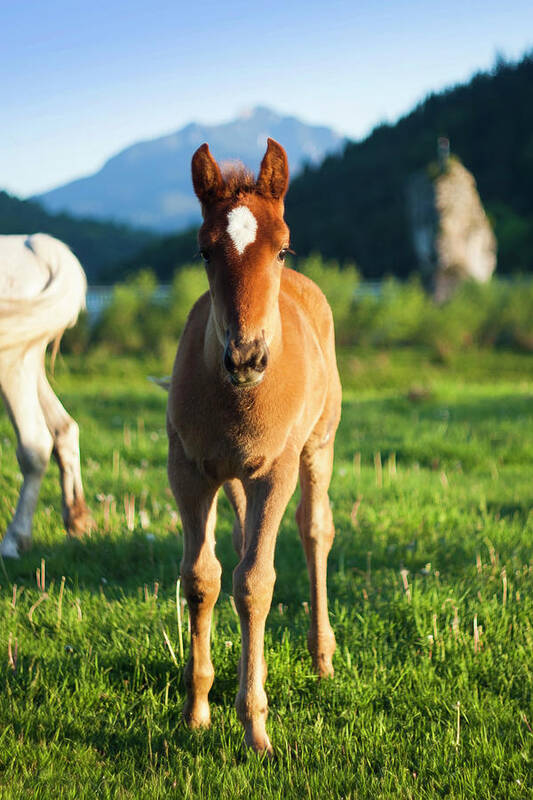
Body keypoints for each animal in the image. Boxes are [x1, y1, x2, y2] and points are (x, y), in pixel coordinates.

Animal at [0, 231, 90, 556]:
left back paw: (15, 540)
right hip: (28, 360)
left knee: (35, 443)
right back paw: (76, 519)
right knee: (64, 428)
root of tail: (34, 246)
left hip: (12, 364)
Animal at [166, 134, 340, 752]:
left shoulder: (274, 471)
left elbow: (256, 585)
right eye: (202, 252)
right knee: (240, 545)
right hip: (235, 475)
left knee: (315, 531)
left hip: (318, 444)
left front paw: (256, 727)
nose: (246, 357)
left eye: (283, 248)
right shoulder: (189, 471)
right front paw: (197, 710)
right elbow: (203, 578)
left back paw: (322, 658)